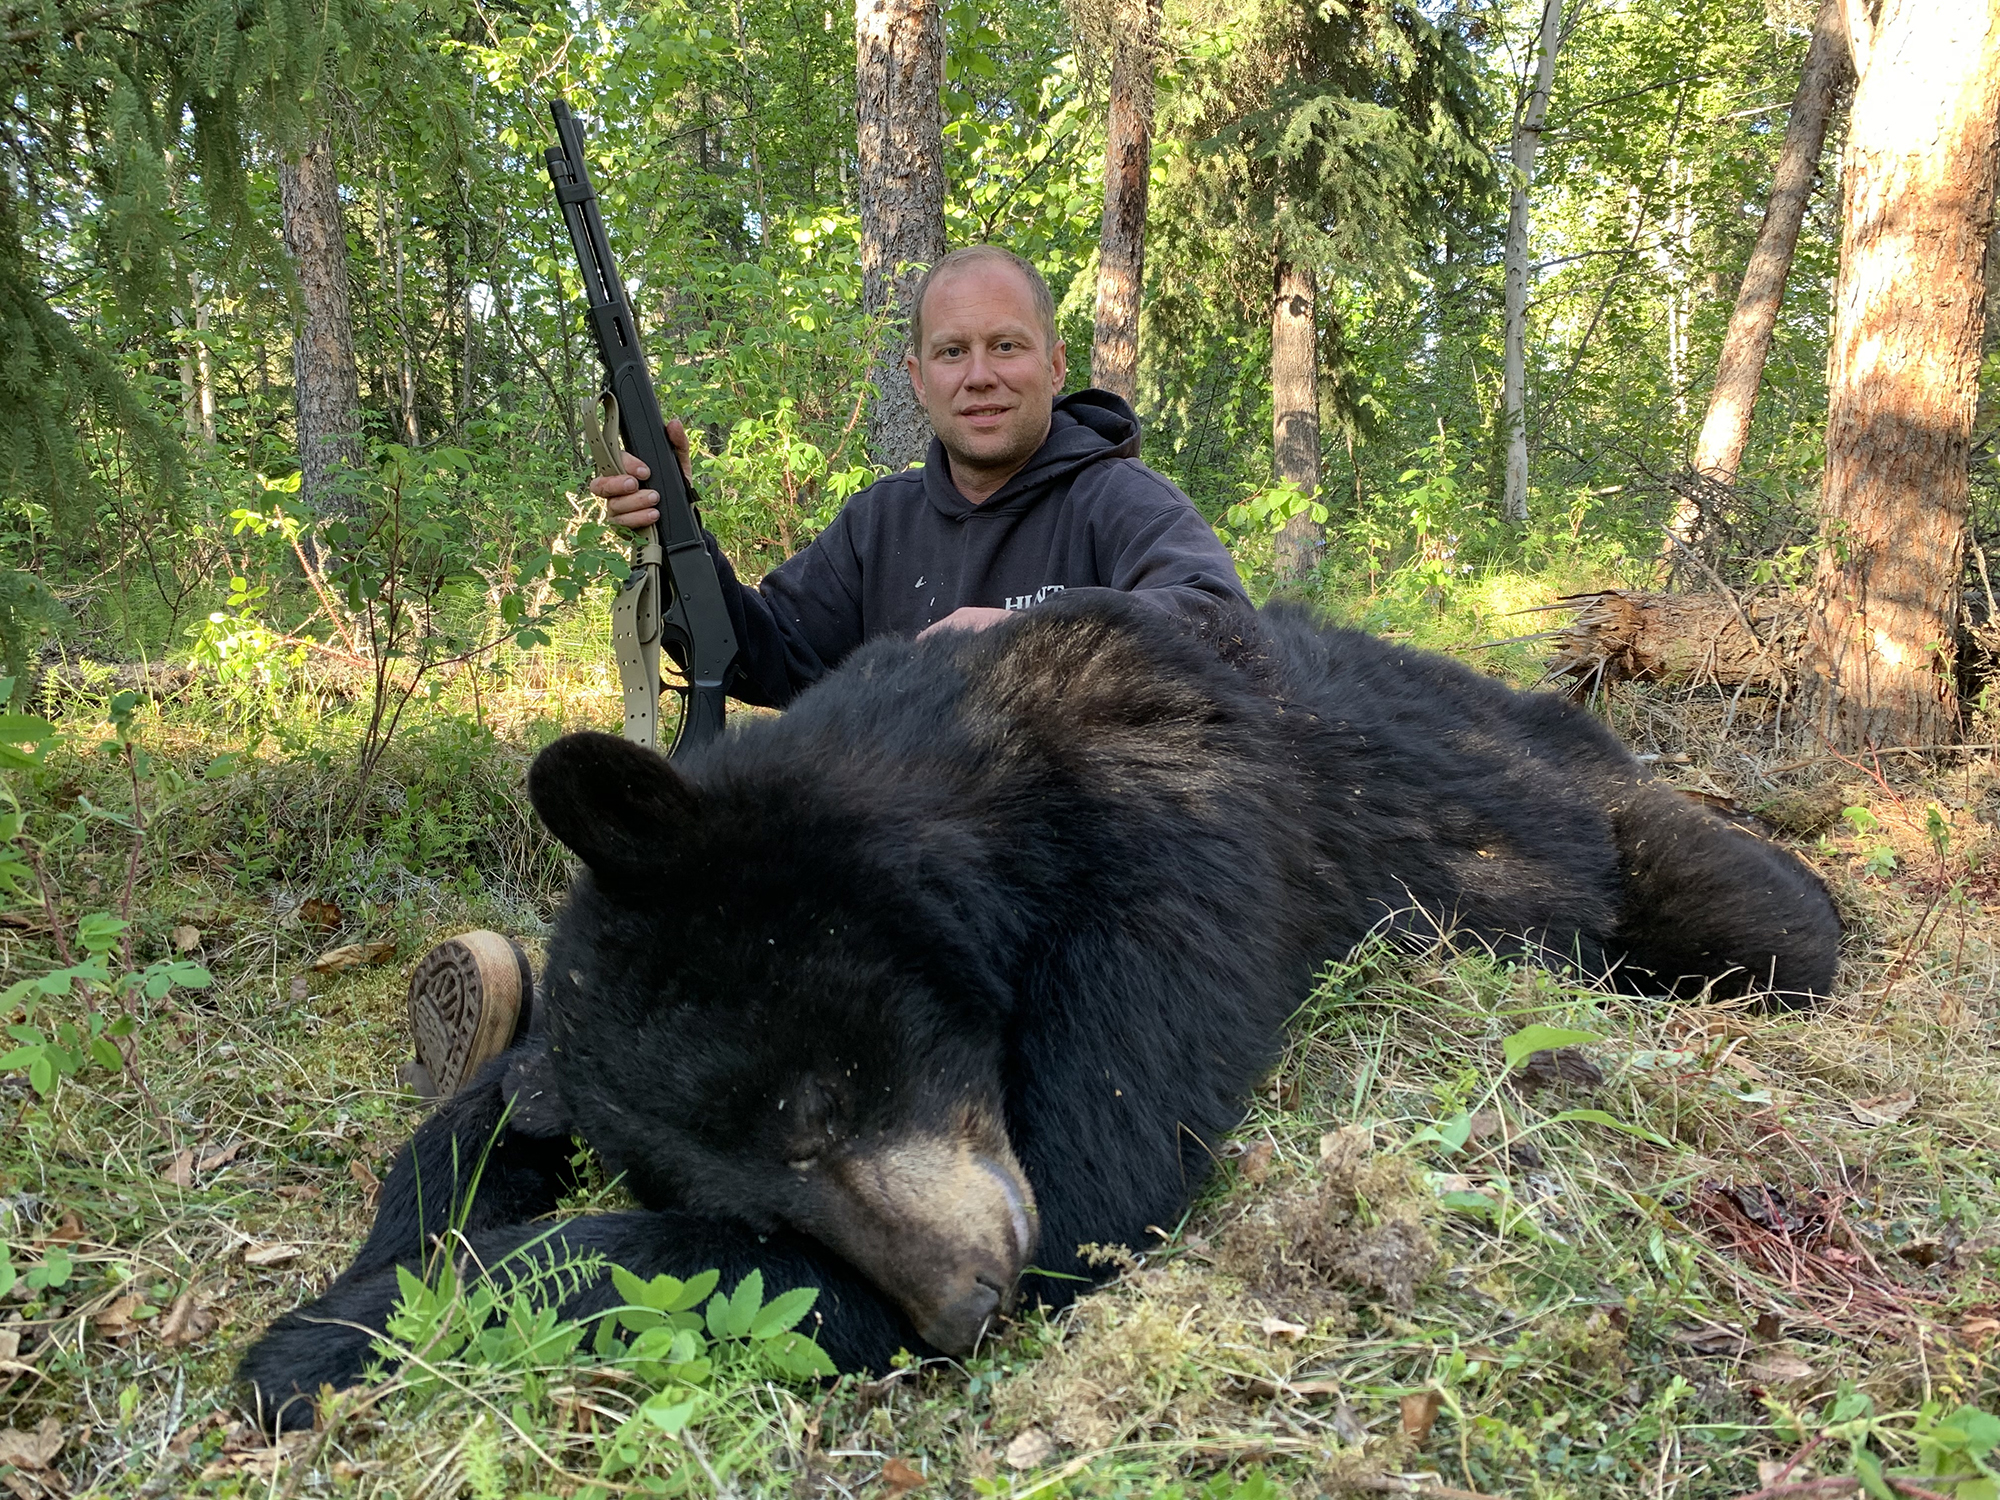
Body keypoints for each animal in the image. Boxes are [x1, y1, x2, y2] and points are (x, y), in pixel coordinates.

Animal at [239, 595, 1839, 1429]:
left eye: (811, 1103)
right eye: (739, 1189)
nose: (963, 1306)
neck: (991, 789)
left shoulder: (1172, 853)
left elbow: (1095, 1174)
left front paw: (326, 1336)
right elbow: (507, 1111)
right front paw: (398, 1238)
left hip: (1620, 836)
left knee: (1772, 923)